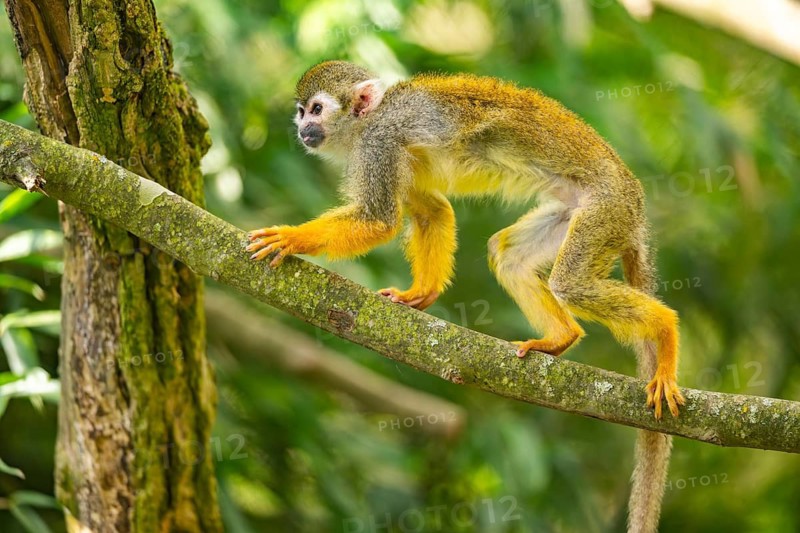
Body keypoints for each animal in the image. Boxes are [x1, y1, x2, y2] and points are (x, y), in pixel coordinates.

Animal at [246, 60, 684, 533]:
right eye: (300, 112)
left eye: (316, 109)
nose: (302, 128)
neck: (367, 121)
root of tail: (634, 202)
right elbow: (432, 210)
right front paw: (418, 294)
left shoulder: (379, 144)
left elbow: (378, 221)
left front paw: (290, 238)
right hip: (577, 211)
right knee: (508, 255)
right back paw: (560, 338)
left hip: (605, 209)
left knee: (571, 283)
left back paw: (664, 331)